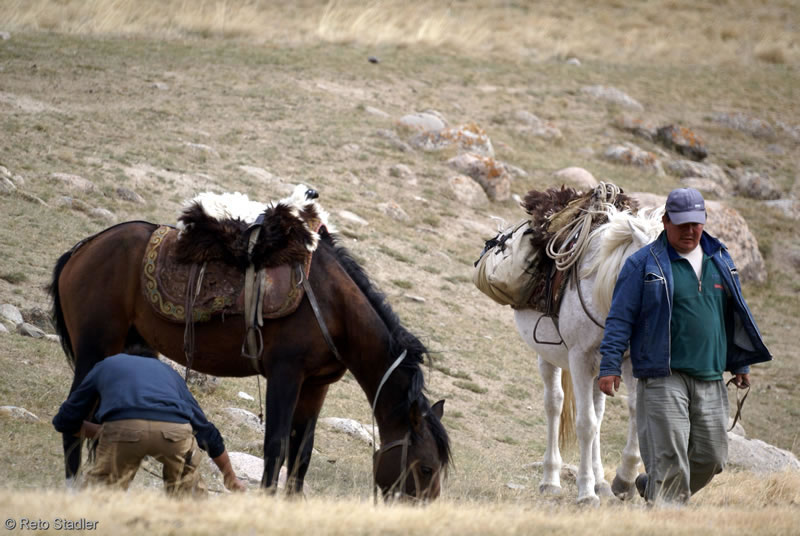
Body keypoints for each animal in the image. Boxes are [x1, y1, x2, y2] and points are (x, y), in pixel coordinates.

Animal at [49, 193, 451, 501]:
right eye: (426, 467)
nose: (421, 510)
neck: (333, 306)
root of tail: (83, 249)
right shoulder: (285, 375)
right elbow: (276, 446)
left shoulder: (316, 385)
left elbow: (301, 452)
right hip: (94, 348)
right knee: (73, 421)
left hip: (128, 347)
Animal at [513, 202, 663, 504]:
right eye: (654, 276)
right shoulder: (580, 361)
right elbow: (585, 424)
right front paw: (585, 493)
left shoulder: (628, 364)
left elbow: (632, 411)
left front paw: (624, 480)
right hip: (549, 358)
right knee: (555, 405)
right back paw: (552, 480)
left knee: (598, 414)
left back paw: (601, 482)